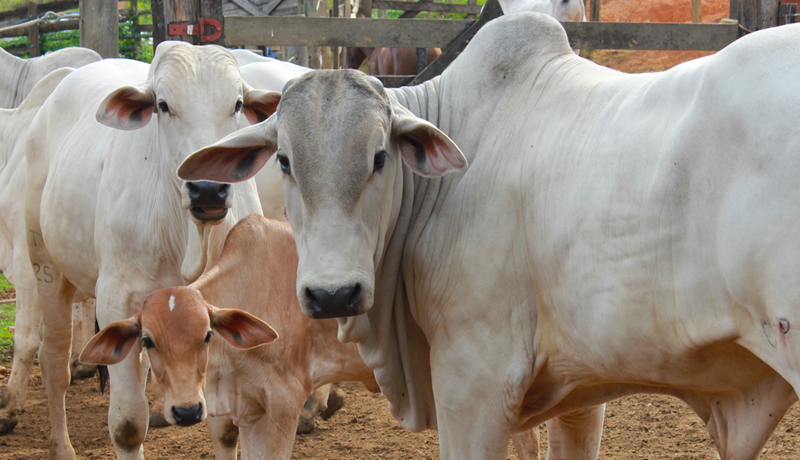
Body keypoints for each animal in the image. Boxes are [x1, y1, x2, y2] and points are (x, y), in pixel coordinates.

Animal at [23, 41, 280, 458]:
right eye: (163, 104)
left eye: (238, 104)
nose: (208, 189)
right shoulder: (117, 300)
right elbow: (128, 425)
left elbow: (226, 427)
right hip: (45, 267)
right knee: (53, 362)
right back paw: (61, 445)